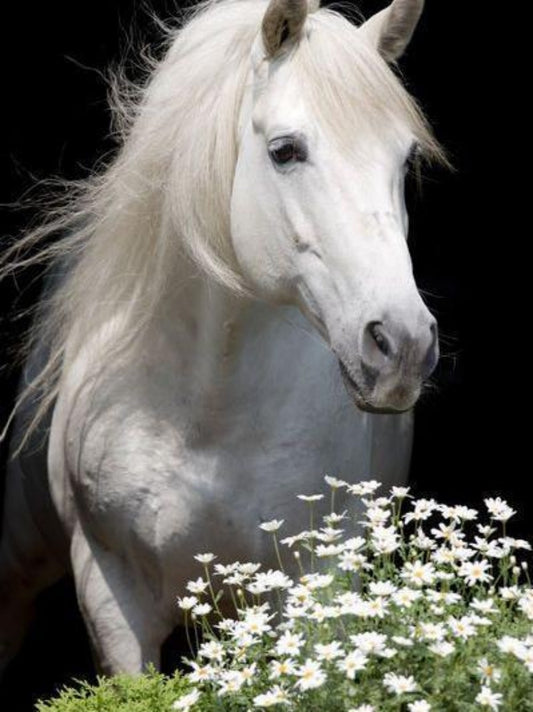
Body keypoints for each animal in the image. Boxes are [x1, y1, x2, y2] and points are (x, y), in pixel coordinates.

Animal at [0, 0, 445, 676]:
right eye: (286, 151)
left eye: (404, 159)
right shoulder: (111, 597)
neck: (207, 415)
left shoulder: (317, 582)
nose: (403, 346)